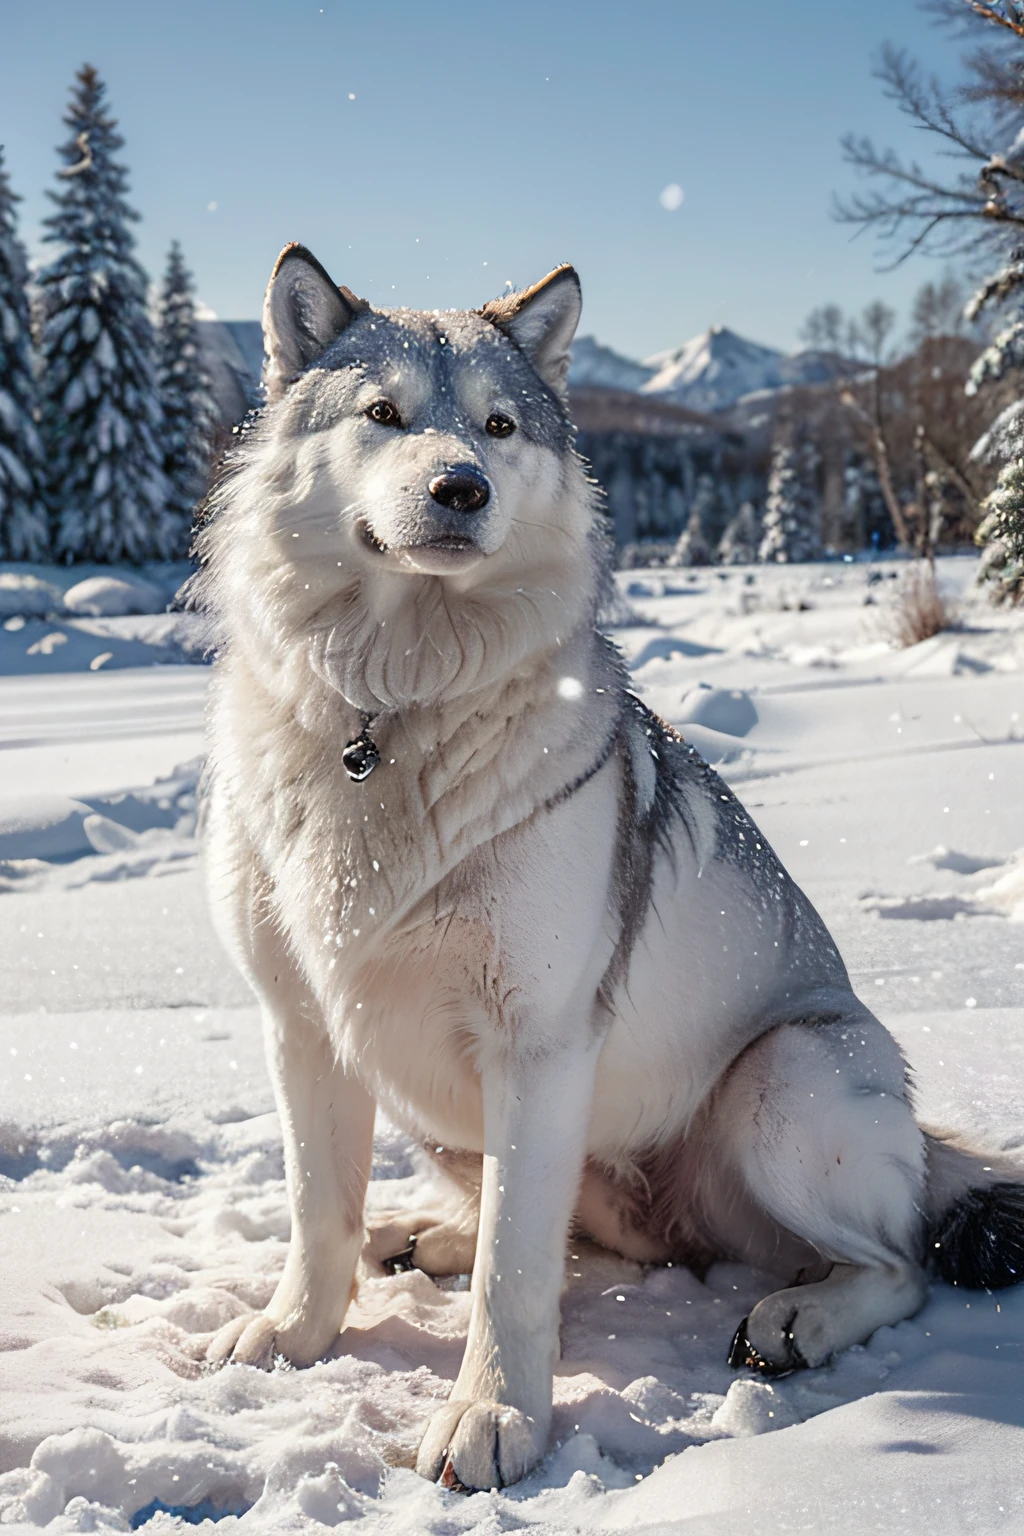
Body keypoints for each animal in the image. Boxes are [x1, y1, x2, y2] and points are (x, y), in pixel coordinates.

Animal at [198, 245, 1024, 1492]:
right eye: (383, 414)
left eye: (496, 427)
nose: (461, 489)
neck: (392, 714)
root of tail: (925, 1143)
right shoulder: (302, 1026)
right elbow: (318, 1215)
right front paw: (295, 1336)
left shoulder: (540, 1043)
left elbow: (515, 1277)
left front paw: (492, 1418)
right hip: (447, 1114)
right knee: (570, 1236)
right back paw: (426, 1236)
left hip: (779, 1081)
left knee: (895, 1263)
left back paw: (801, 1317)